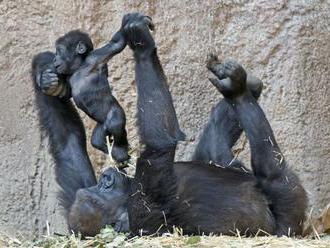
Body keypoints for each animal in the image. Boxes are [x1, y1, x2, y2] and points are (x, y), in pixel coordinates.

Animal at [41, 29, 130, 162]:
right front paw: (45, 80)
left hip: (115, 112)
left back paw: (121, 149)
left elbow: (116, 44)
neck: (79, 67)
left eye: (59, 51)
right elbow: (65, 93)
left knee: (115, 123)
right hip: (101, 125)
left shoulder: (95, 58)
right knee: (97, 141)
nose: (54, 59)